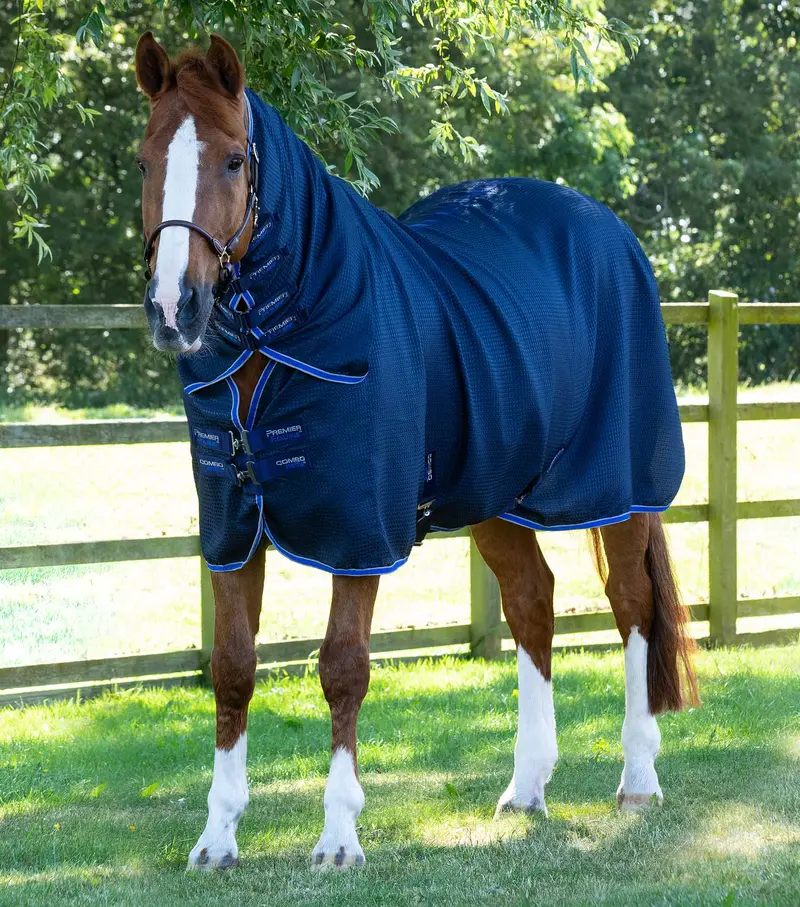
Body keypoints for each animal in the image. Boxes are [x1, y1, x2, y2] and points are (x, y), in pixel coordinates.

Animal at [134, 33, 698, 870]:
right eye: (144, 161)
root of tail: (610, 231)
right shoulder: (233, 529)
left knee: (632, 607)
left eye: (234, 160)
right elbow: (233, 668)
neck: (285, 340)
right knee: (532, 603)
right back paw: (526, 785)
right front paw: (217, 837)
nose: (175, 308)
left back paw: (637, 778)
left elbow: (342, 666)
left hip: (619, 486)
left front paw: (338, 836)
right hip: (496, 496)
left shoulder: (360, 534)